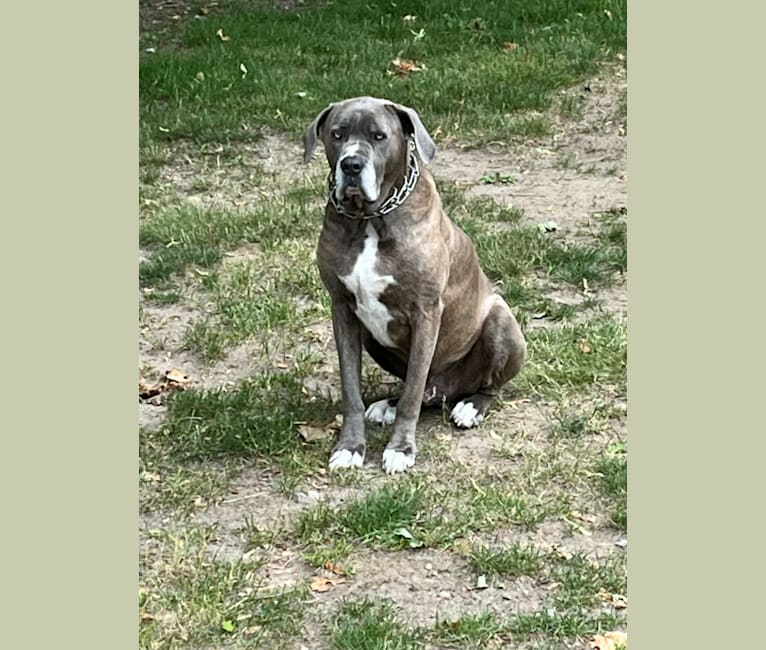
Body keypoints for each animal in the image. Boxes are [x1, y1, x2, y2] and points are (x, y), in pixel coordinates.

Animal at [304, 96, 528, 470]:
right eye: (337, 134)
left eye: (379, 136)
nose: (351, 164)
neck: (370, 219)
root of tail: (444, 390)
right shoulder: (343, 310)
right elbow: (351, 389)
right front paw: (350, 447)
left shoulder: (425, 311)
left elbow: (411, 393)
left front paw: (401, 449)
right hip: (372, 337)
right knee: (418, 389)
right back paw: (388, 405)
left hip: (501, 321)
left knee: (475, 387)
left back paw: (470, 407)